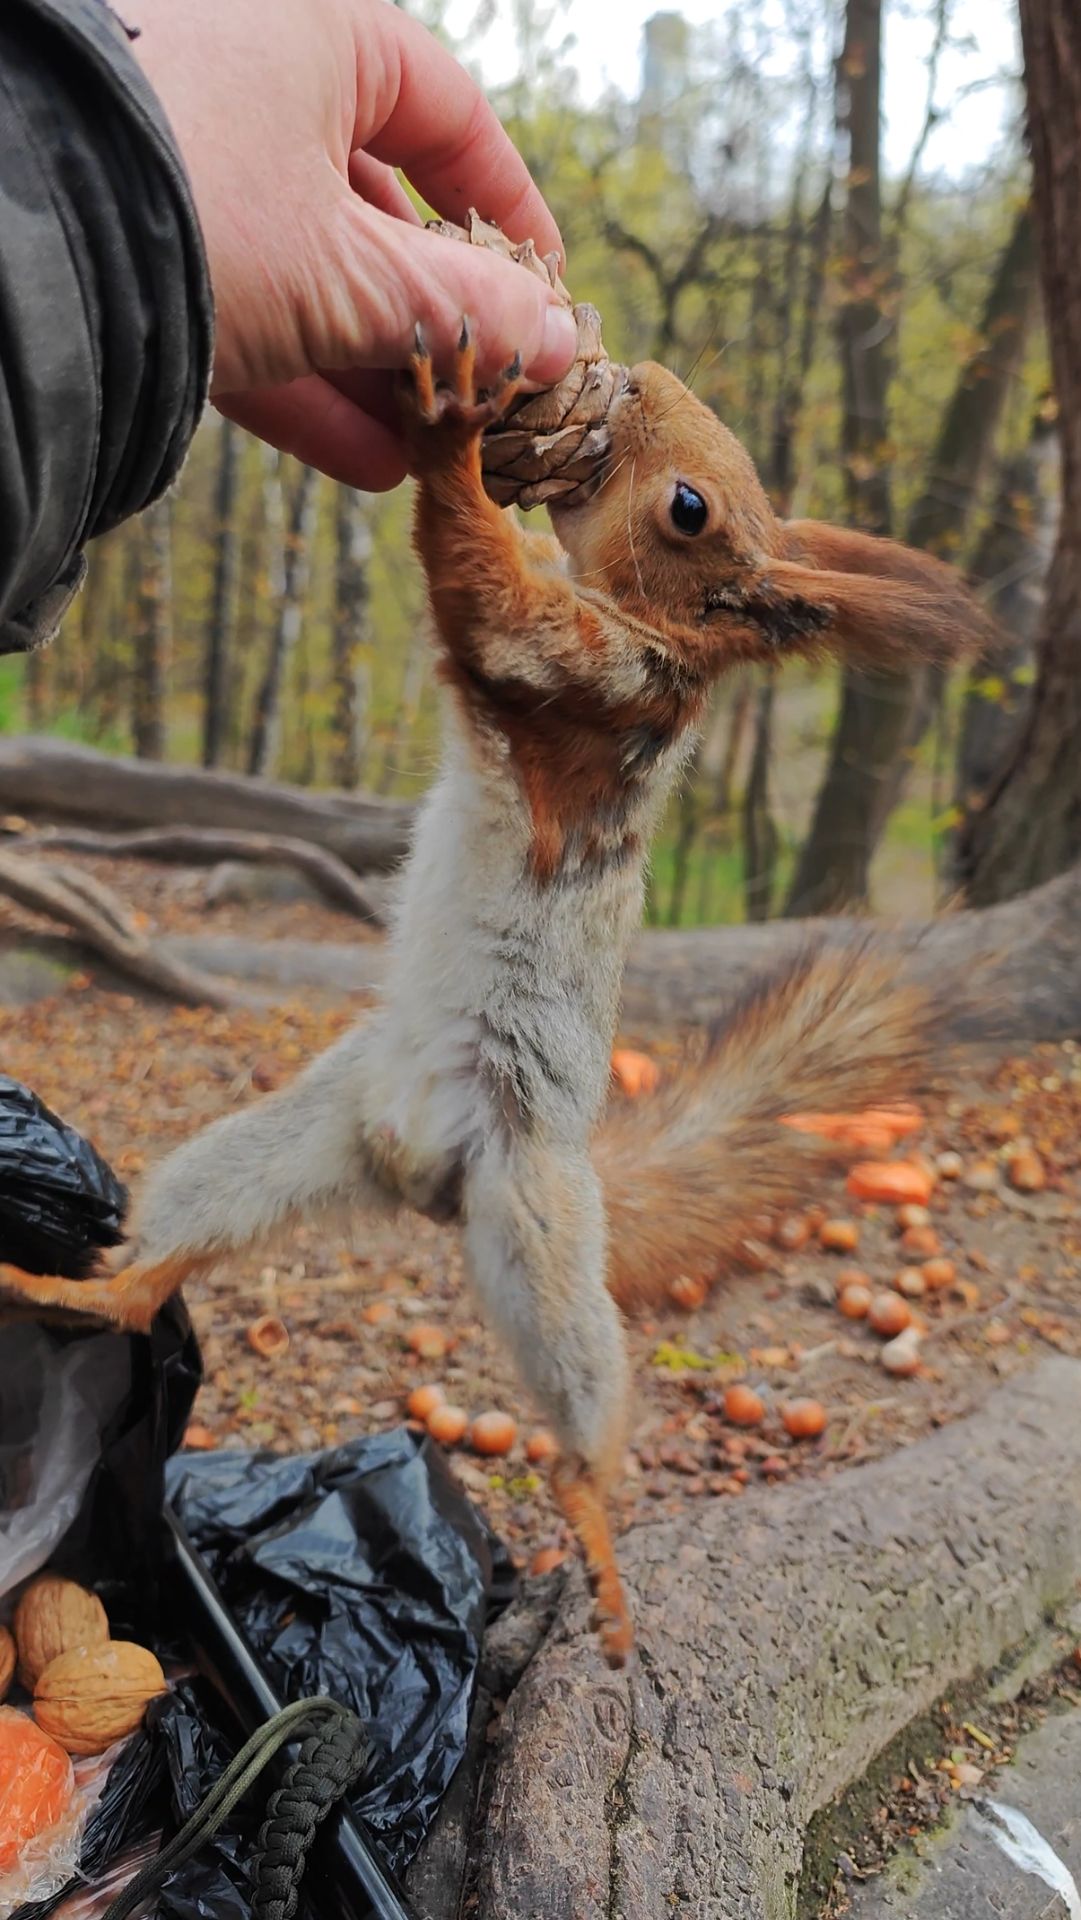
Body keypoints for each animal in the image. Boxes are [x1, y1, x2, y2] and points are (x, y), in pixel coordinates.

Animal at [1, 328, 993, 1664]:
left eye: (689, 508)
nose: (642, 378)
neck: (661, 635)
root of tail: (414, 1178)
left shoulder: (593, 678)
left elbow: (493, 604)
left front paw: (445, 439)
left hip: (533, 1225)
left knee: (585, 1411)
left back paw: (596, 1533)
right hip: (283, 1142)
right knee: (158, 1269)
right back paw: (69, 1287)